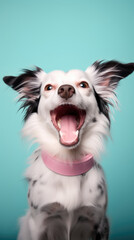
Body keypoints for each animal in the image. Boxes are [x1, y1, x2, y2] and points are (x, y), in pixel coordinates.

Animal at [3, 59, 134, 238]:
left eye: (83, 84)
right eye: (48, 87)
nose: (65, 89)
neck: (69, 164)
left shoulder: (99, 222)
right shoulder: (38, 223)